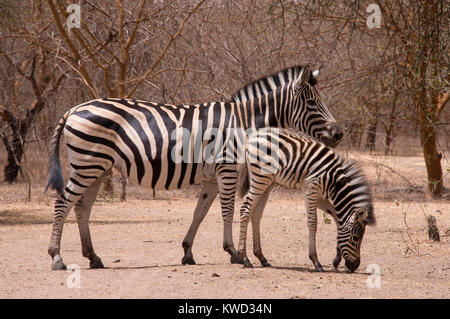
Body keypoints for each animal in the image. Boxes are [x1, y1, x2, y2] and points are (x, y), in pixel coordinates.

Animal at [46, 65, 342, 270]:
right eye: (312, 103)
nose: (339, 134)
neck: (243, 122)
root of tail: (73, 109)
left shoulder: (212, 177)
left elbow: (200, 212)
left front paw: (188, 251)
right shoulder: (228, 169)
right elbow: (226, 211)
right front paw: (234, 253)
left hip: (97, 168)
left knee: (82, 208)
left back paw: (93, 257)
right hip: (87, 165)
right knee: (62, 204)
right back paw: (57, 258)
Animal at [237, 129, 374, 274]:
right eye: (356, 238)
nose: (354, 266)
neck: (334, 183)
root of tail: (252, 138)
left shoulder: (320, 196)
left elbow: (337, 219)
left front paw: (337, 259)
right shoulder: (311, 190)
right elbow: (313, 222)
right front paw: (316, 261)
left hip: (268, 182)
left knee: (256, 214)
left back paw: (261, 257)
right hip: (260, 179)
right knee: (245, 210)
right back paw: (245, 258)